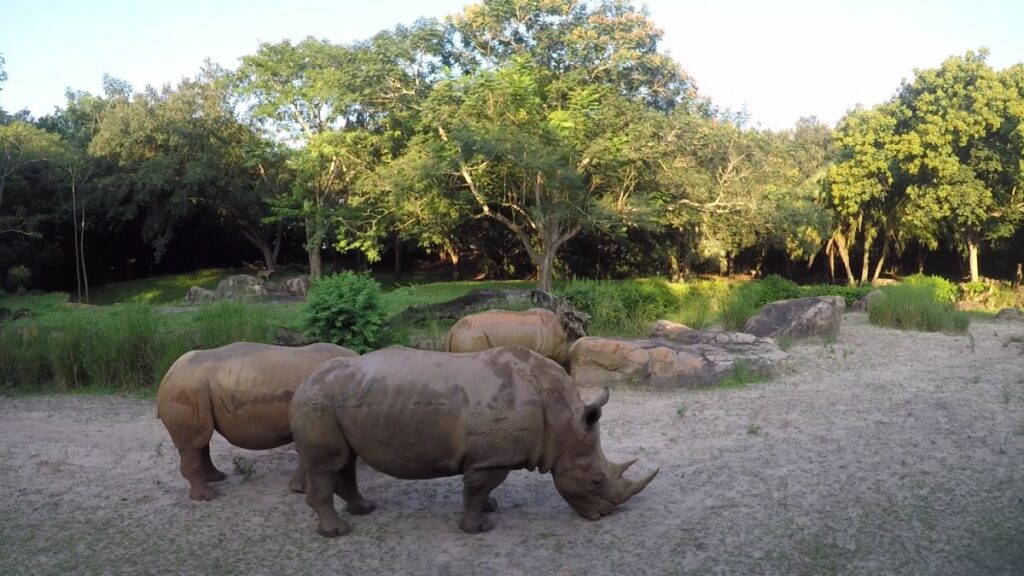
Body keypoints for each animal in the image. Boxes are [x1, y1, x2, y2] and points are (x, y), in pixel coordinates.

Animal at [153, 340, 358, 498]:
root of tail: (168, 374)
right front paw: (299, 490)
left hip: (193, 386)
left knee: (201, 440)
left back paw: (216, 478)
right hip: (186, 387)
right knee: (194, 442)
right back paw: (208, 496)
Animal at [288, 342, 655, 537]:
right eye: (595, 480)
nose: (605, 515)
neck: (563, 425)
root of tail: (304, 381)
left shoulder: (491, 456)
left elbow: (482, 491)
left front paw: (492, 507)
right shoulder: (491, 459)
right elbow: (477, 489)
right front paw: (479, 528)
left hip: (337, 398)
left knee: (345, 461)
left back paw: (365, 509)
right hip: (317, 400)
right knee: (328, 464)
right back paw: (338, 532)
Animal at [444, 307, 573, 364]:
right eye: (567, 351)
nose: (568, 363)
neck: (561, 336)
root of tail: (453, 329)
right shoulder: (545, 353)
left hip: (466, 334)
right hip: (470, 336)